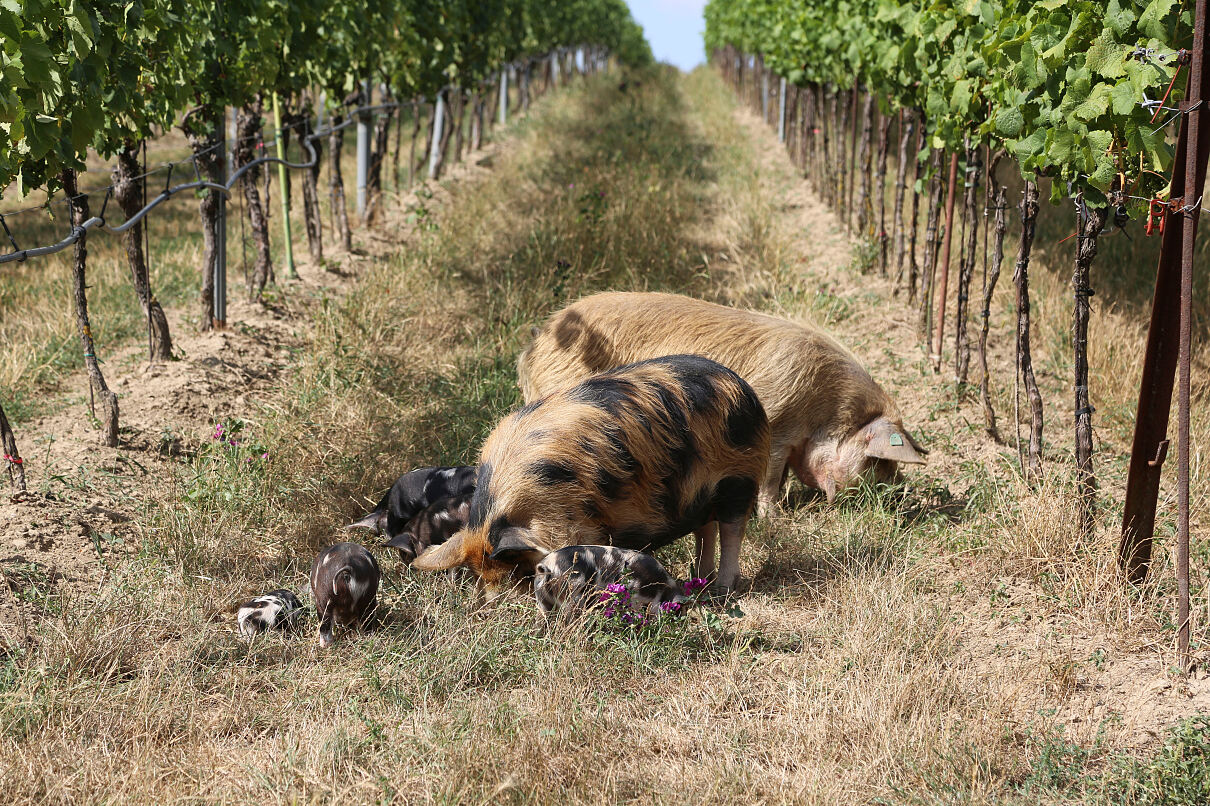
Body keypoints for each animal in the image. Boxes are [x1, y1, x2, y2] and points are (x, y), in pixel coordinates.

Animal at [411, 355, 769, 593]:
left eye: (519, 571)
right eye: (483, 578)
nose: (503, 603)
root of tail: (744, 388)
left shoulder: (575, 524)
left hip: (740, 477)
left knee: (732, 530)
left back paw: (722, 590)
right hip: (701, 493)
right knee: (706, 528)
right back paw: (699, 578)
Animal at [517, 291, 924, 508]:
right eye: (876, 462)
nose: (893, 493)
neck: (823, 409)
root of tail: (535, 345)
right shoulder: (777, 423)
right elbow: (770, 480)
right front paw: (774, 518)